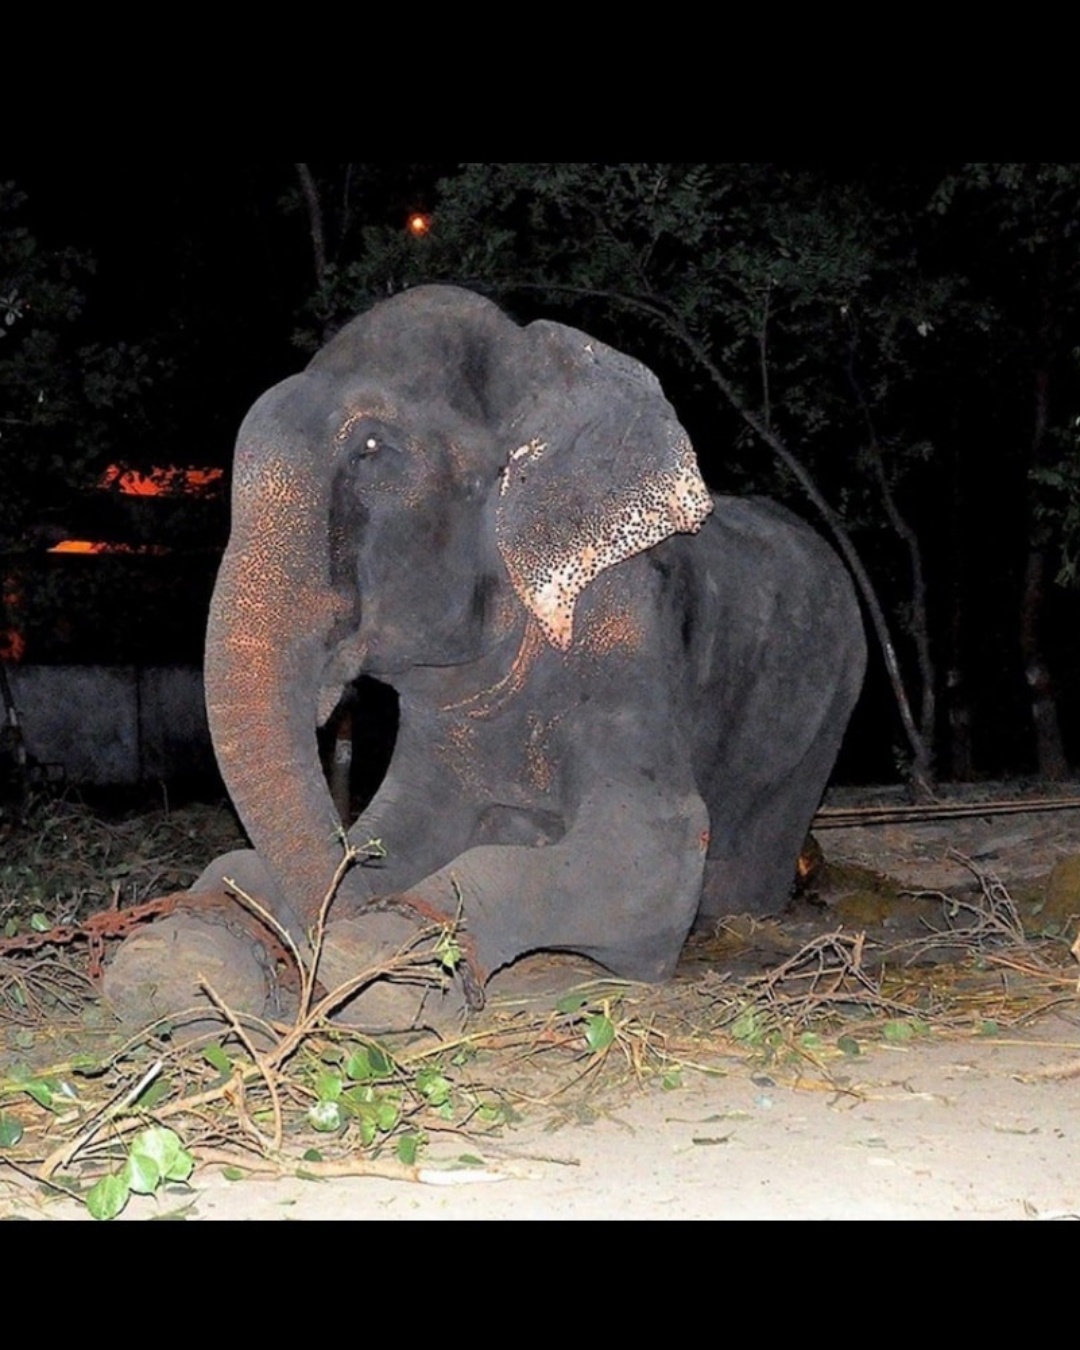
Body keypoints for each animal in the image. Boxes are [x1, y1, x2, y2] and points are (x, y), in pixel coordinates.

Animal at [104, 285, 866, 1031]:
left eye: (372, 446)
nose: (308, 954)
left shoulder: (622, 626)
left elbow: (655, 848)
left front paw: (383, 962)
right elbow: (392, 830)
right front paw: (176, 958)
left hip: (828, 713)